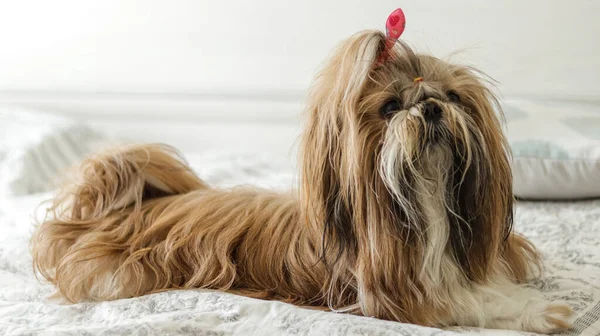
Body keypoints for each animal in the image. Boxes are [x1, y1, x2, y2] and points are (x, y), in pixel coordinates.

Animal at [30, 29, 576, 334]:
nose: (430, 107)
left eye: (452, 96)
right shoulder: (397, 296)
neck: (428, 198)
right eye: (390, 108)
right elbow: (473, 301)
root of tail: (125, 208)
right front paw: (539, 311)